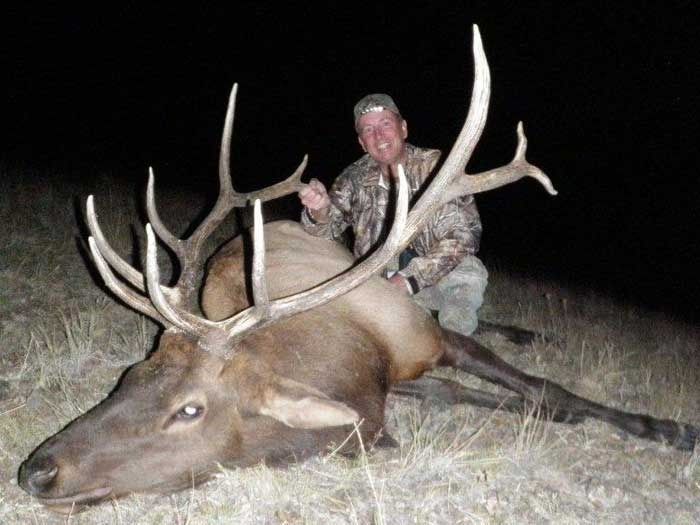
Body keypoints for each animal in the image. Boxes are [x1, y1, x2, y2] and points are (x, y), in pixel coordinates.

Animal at [19, 26, 698, 513]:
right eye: (130, 374)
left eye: (190, 410)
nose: (36, 469)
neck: (356, 361)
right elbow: (472, 396)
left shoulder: (424, 333)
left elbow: (545, 389)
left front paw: (666, 428)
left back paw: (536, 334)